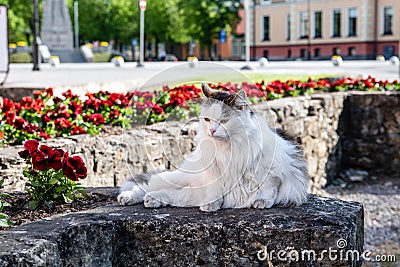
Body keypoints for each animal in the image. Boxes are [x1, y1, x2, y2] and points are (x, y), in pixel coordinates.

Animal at [117, 84, 308, 211]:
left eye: (224, 121)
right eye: (207, 119)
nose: (212, 131)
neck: (227, 148)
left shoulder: (273, 170)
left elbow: (269, 189)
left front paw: (262, 201)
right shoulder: (214, 174)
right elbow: (215, 191)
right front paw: (212, 204)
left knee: (167, 193)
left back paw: (151, 200)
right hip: (181, 177)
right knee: (149, 185)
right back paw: (128, 197)